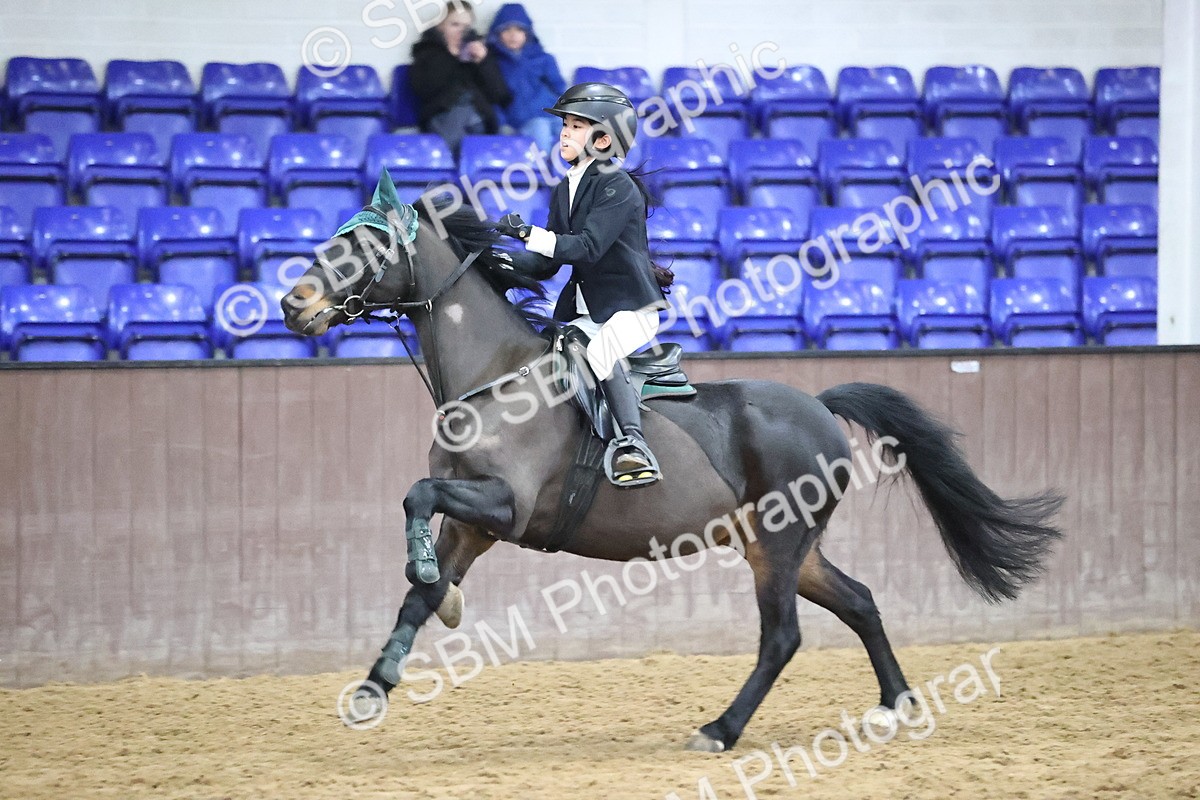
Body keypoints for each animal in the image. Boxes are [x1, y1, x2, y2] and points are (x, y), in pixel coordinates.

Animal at [280, 189, 1063, 753]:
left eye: (365, 246)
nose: (294, 303)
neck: (496, 380)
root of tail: (819, 404)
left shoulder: (506, 506)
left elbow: (415, 497)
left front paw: (434, 597)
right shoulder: (473, 525)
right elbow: (417, 587)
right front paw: (378, 681)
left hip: (778, 545)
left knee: (782, 637)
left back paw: (721, 729)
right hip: (784, 545)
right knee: (861, 601)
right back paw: (896, 706)